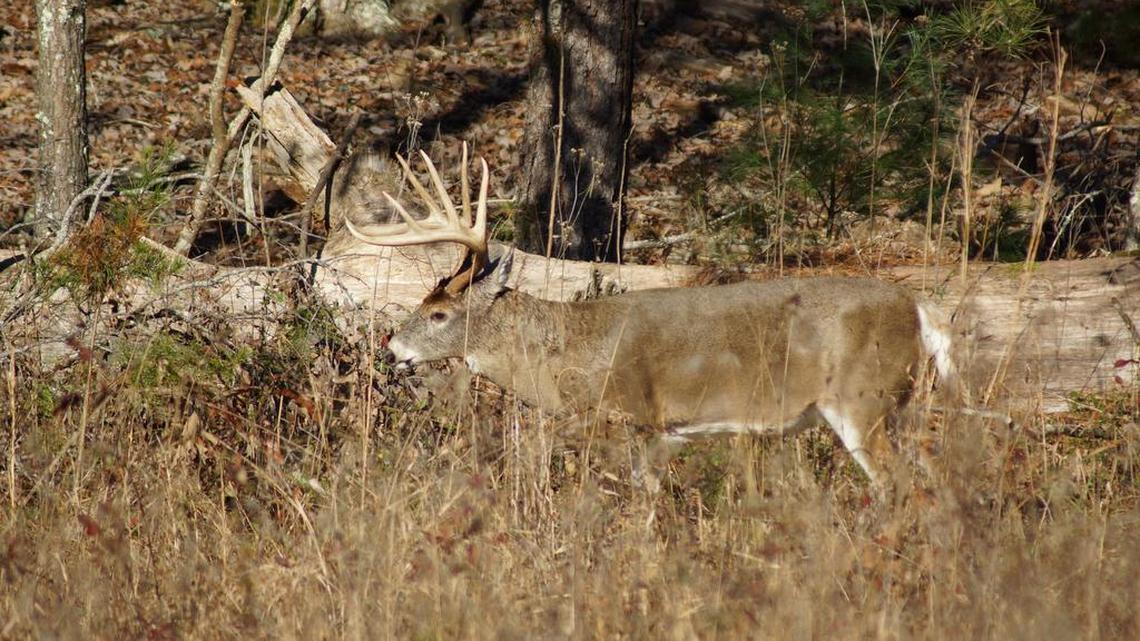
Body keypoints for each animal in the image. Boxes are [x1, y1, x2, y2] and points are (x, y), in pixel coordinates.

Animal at [346, 146, 960, 490]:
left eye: (437, 312)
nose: (391, 348)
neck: (567, 351)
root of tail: (920, 309)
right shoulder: (663, 435)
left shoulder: (625, 416)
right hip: (902, 406)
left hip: (864, 399)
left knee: (903, 488)